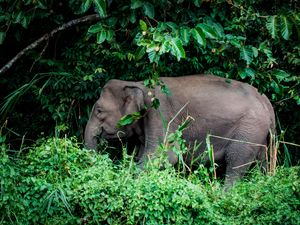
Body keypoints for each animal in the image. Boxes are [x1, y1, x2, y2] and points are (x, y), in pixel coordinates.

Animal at [84, 74, 274, 187]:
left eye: (99, 111)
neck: (137, 84)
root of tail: (267, 102)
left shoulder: (161, 113)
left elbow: (163, 155)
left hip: (249, 130)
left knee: (236, 163)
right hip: (259, 135)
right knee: (260, 163)